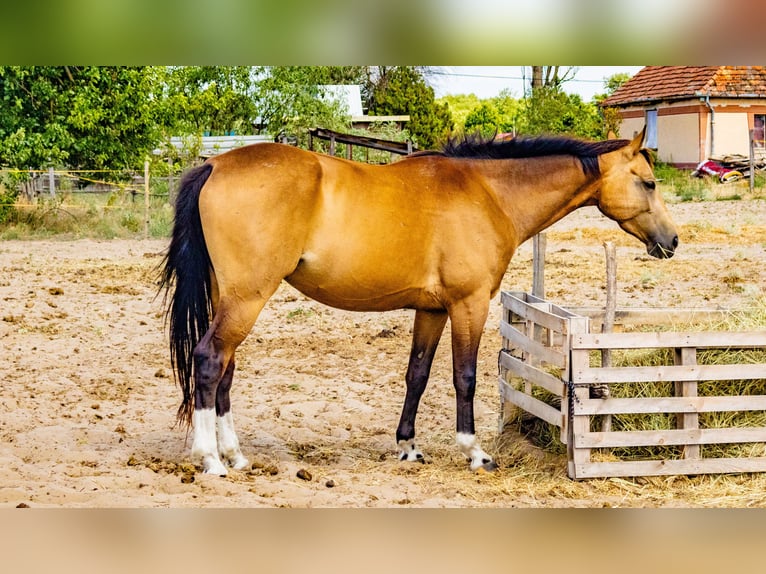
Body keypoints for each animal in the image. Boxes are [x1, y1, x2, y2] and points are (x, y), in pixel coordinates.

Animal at [159, 126, 679, 476]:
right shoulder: (469, 305)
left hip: (233, 298)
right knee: (209, 360)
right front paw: (474, 452)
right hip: (247, 298)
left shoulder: (430, 310)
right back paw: (210, 459)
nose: (672, 241)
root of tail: (215, 164)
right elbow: (464, 377)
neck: (490, 192)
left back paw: (235, 454)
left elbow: (418, 374)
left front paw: (408, 446)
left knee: (225, 370)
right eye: (649, 182)